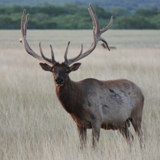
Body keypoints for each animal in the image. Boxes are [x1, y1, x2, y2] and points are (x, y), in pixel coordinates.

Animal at [19, 4, 144, 149]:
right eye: (53, 70)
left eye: (67, 70)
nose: (58, 79)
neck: (77, 104)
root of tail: (141, 90)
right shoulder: (79, 124)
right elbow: (82, 147)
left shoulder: (97, 119)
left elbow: (94, 146)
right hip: (121, 123)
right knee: (131, 139)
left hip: (137, 114)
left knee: (141, 137)